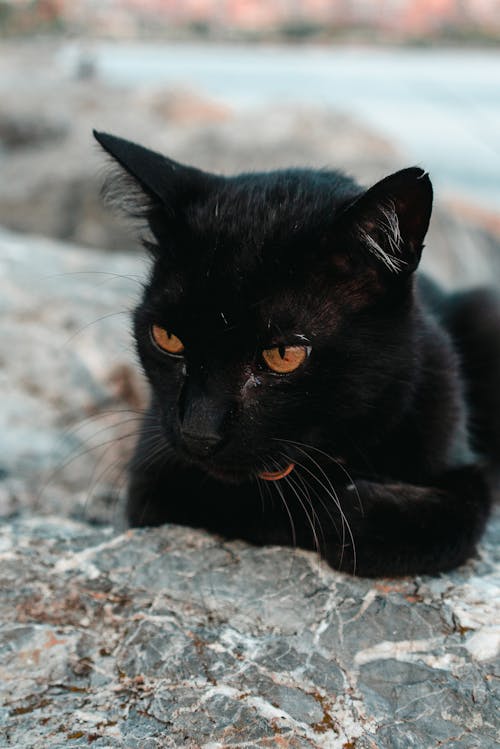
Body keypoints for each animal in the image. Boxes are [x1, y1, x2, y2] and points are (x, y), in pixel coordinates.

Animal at [93, 129, 496, 576]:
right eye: (167, 338)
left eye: (283, 355)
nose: (198, 433)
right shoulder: (155, 467)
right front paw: (339, 509)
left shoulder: (454, 444)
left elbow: (466, 507)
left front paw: (356, 509)